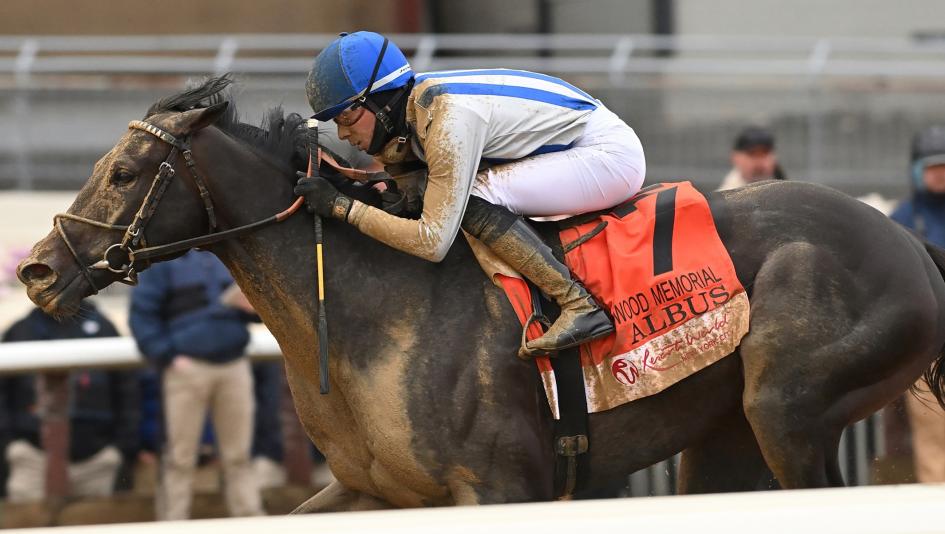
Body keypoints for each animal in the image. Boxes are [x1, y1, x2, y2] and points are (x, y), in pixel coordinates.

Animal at [17, 76, 945, 510]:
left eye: (125, 172)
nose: (38, 270)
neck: (367, 312)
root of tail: (909, 242)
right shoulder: (378, 490)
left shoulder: (503, 485)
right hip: (721, 439)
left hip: (788, 408)